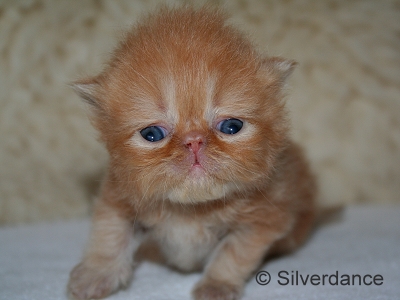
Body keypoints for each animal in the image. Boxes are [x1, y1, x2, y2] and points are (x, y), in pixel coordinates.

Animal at [69, 6, 318, 300]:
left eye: (231, 127)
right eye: (152, 134)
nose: (194, 141)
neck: (190, 210)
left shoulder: (262, 219)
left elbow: (232, 254)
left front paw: (216, 286)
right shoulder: (117, 198)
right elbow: (109, 235)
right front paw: (96, 274)